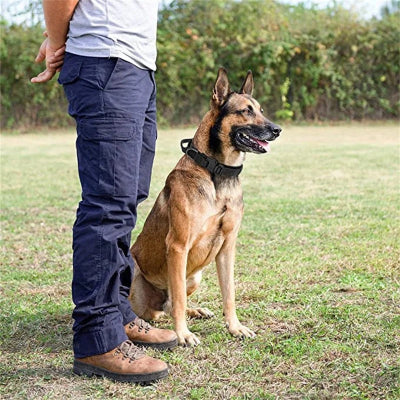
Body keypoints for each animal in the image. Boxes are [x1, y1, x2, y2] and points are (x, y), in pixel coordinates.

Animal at [129, 68, 282, 344]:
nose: (277, 130)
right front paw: (183, 334)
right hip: (136, 274)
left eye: (261, 109)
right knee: (162, 306)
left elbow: (229, 293)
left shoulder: (227, 247)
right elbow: (178, 299)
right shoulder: (178, 246)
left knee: (169, 304)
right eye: (246, 111)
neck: (217, 173)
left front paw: (235, 327)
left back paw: (196, 311)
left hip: (195, 276)